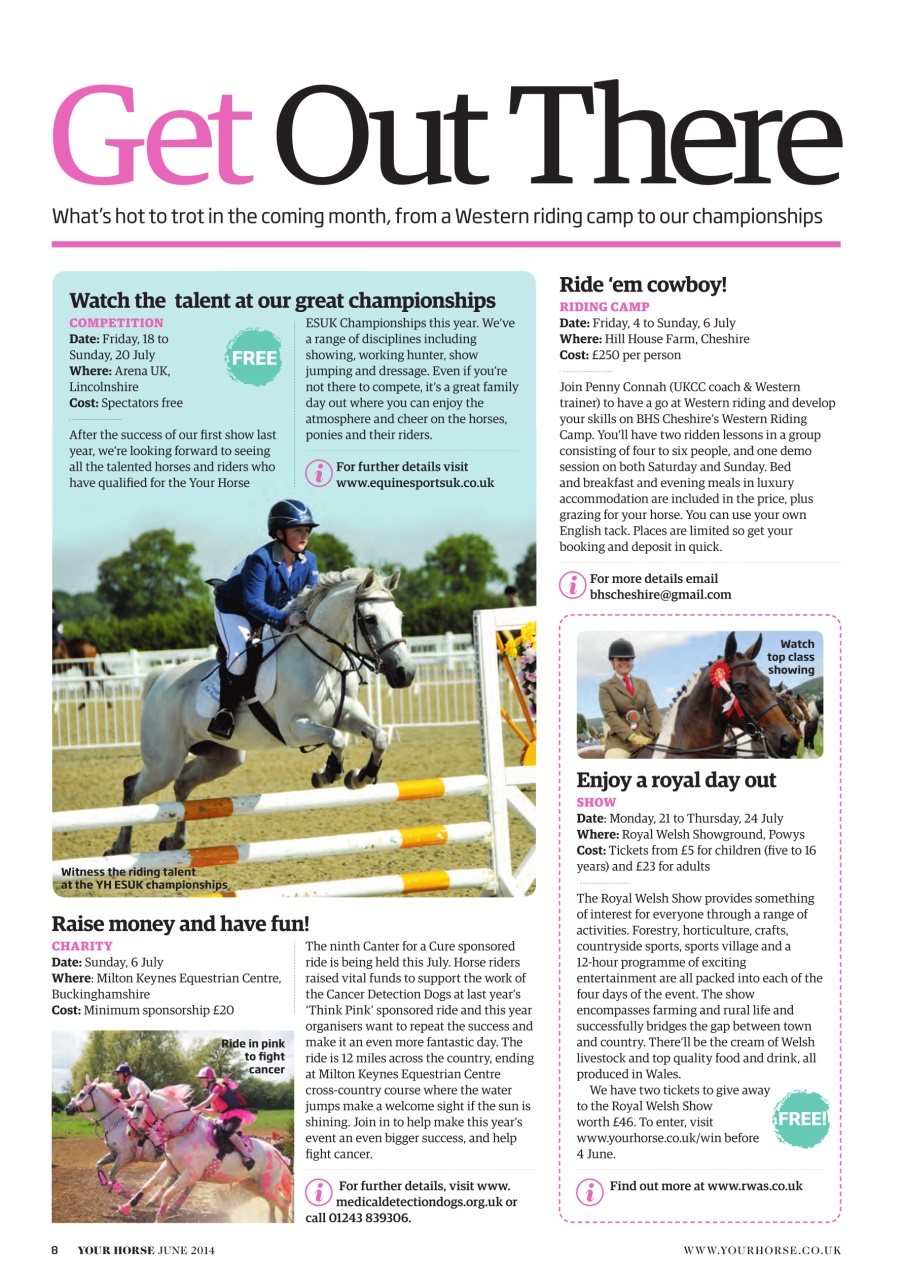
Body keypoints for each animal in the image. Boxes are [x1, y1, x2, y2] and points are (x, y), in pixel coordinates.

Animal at [102, 568, 415, 858]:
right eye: (370, 619)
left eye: (399, 616)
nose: (405, 674)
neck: (321, 661)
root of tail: (161, 678)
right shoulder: (293, 728)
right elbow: (337, 739)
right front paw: (327, 773)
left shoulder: (347, 713)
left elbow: (379, 737)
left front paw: (361, 777)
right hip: (163, 761)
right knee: (133, 787)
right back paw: (120, 847)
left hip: (222, 757)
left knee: (182, 783)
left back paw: (174, 841)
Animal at [118, 1086, 292, 1222]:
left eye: (139, 1108)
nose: (129, 1133)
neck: (185, 1133)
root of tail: (276, 1152)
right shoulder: (169, 1166)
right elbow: (148, 1185)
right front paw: (126, 1207)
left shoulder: (190, 1174)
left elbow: (167, 1193)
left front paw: (159, 1218)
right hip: (252, 1184)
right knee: (273, 1203)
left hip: (267, 1186)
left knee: (283, 1204)